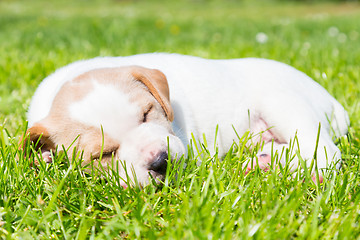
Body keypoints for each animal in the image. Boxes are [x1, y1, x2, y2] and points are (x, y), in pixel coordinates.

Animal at [24, 53, 348, 187]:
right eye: (103, 154)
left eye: (147, 114)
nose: (159, 161)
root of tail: (333, 101)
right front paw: (45, 158)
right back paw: (264, 163)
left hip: (284, 104)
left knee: (325, 151)